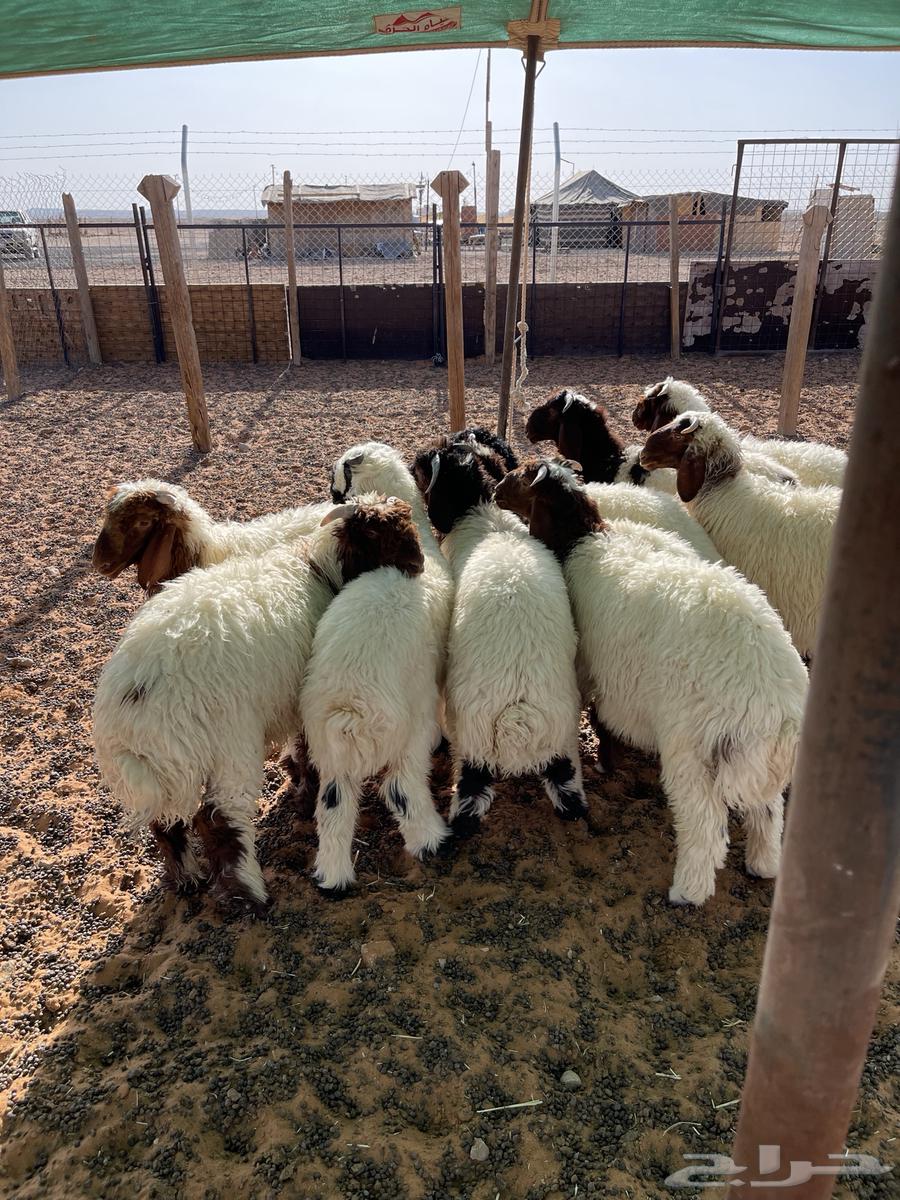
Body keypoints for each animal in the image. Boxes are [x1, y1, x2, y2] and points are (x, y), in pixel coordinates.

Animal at [93, 500, 406, 914]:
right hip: (231, 744)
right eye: (387, 538)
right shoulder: (306, 694)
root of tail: (131, 701)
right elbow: (308, 749)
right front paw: (305, 790)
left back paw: (188, 879)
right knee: (219, 818)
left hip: (167, 768)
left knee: (166, 822)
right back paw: (249, 895)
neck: (314, 565)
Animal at [300, 497, 451, 894]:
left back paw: (333, 880)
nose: (417, 564)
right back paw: (432, 841)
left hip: (329, 755)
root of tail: (351, 711)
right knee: (400, 788)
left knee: (333, 808)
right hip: (409, 731)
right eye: (389, 533)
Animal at [411, 439, 587, 835]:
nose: (413, 462)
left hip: (472, 750)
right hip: (563, 747)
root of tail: (517, 717)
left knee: (467, 807)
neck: (487, 519)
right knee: (572, 799)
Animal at [495, 458, 808, 906]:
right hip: (753, 758)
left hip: (693, 743)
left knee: (705, 824)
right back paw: (762, 866)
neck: (582, 543)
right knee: (768, 811)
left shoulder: (591, 667)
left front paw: (605, 761)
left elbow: (597, 715)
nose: (494, 491)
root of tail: (777, 704)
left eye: (522, 475)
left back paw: (687, 892)